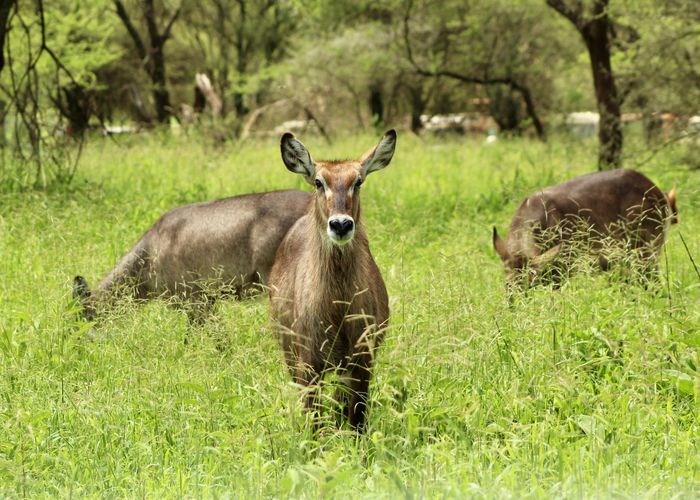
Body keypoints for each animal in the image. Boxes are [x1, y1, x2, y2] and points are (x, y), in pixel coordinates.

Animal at [270, 129, 396, 430]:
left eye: (358, 181)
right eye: (319, 181)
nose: (341, 224)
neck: (337, 309)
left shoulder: (362, 361)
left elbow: (357, 419)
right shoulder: (308, 364)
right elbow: (313, 422)